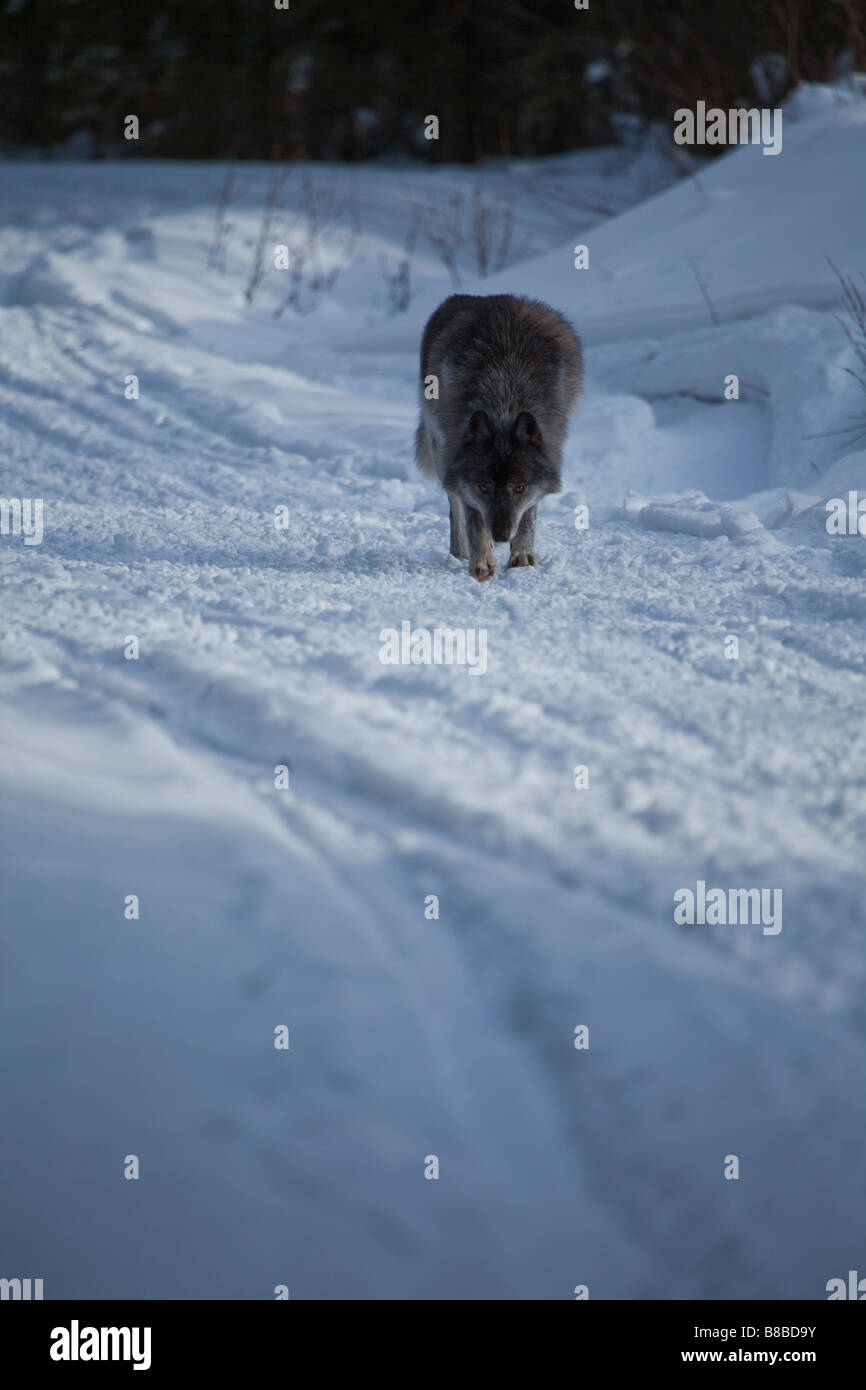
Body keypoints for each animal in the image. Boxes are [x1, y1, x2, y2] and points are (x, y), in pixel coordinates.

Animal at [415, 293, 582, 581]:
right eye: (484, 488)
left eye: (519, 488)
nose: (502, 535)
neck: (505, 394)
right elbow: (473, 518)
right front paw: (481, 562)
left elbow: (529, 515)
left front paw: (522, 558)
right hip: (438, 446)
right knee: (455, 509)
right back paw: (459, 554)